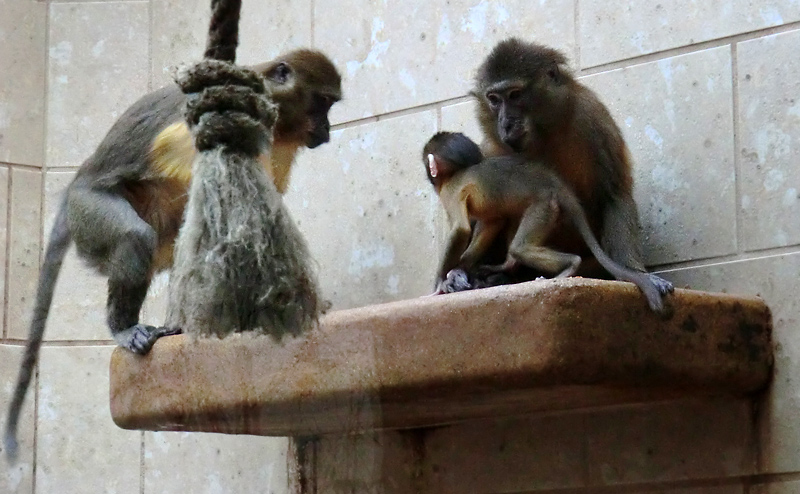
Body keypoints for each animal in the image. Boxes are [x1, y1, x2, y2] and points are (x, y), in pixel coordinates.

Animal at [2, 48, 340, 462]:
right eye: (321, 103)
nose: (326, 129)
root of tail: (72, 189)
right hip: (89, 211)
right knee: (136, 235)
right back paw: (123, 326)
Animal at [424, 131, 676, 312]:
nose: (430, 175)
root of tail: (557, 185)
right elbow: (493, 222)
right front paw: (461, 269)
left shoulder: (450, 192)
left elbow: (461, 229)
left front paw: (440, 282)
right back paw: (507, 266)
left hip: (545, 205)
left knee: (521, 247)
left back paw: (570, 266)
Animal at [468, 39, 648, 290]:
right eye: (494, 99)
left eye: (515, 95)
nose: (506, 124)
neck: (544, 135)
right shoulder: (490, 148)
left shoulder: (592, 117)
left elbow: (613, 194)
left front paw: (635, 273)